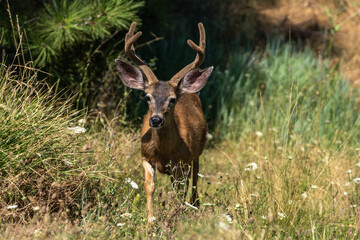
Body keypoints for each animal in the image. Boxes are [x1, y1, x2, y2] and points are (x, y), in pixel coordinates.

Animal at [115, 21, 212, 224]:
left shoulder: (182, 161)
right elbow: (150, 186)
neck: (164, 153)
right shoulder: (145, 156)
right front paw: (150, 221)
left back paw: (194, 206)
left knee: (193, 182)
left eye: (172, 99)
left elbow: (179, 190)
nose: (156, 120)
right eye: (147, 97)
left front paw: (175, 218)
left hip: (196, 154)